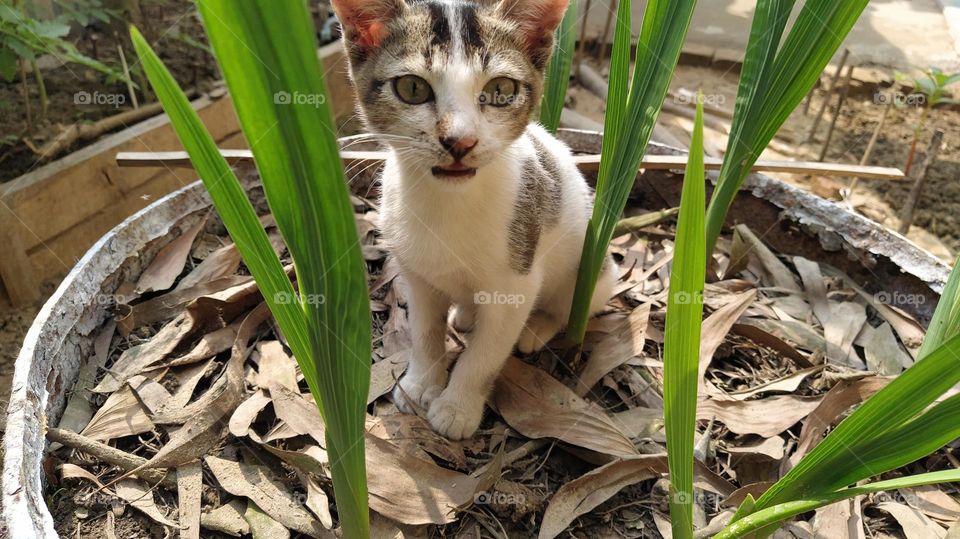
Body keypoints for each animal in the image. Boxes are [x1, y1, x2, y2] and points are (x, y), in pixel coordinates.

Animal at [334, 0, 620, 440]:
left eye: (501, 90)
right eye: (412, 88)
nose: (460, 141)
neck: (448, 204)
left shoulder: (515, 285)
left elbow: (485, 355)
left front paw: (457, 406)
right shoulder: (416, 275)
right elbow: (424, 332)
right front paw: (421, 384)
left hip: (591, 272)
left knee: (568, 304)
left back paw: (537, 328)